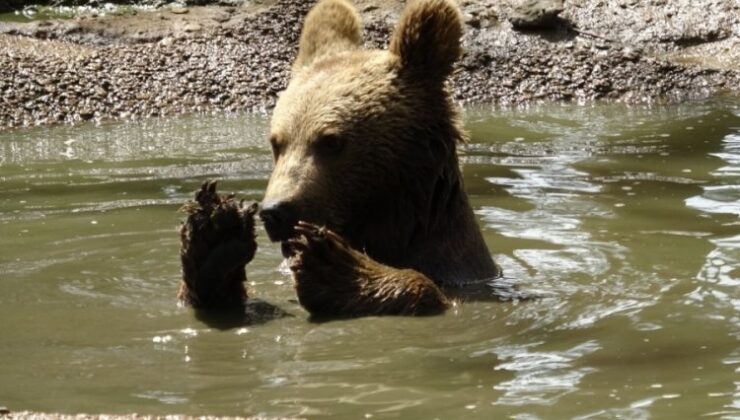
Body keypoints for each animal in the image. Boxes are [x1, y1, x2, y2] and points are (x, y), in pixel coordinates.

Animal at [180, 0, 502, 318]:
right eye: (277, 143)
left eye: (331, 141)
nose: (276, 211)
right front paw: (216, 236)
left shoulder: (460, 274)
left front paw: (336, 267)